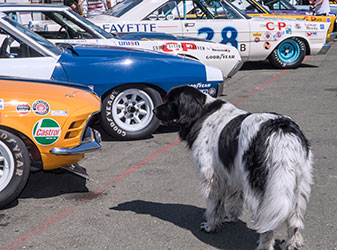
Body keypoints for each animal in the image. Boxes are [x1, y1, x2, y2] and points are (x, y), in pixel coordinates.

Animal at [153, 86, 312, 250]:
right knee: (295, 220)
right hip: (297, 184)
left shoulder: (211, 177)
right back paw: (291, 244)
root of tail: (280, 131)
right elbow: (232, 199)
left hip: (260, 190)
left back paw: (264, 245)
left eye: (171, 101)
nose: (154, 110)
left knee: (267, 227)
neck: (202, 112)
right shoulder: (230, 173)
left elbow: (213, 206)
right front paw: (229, 217)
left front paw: (211, 226)